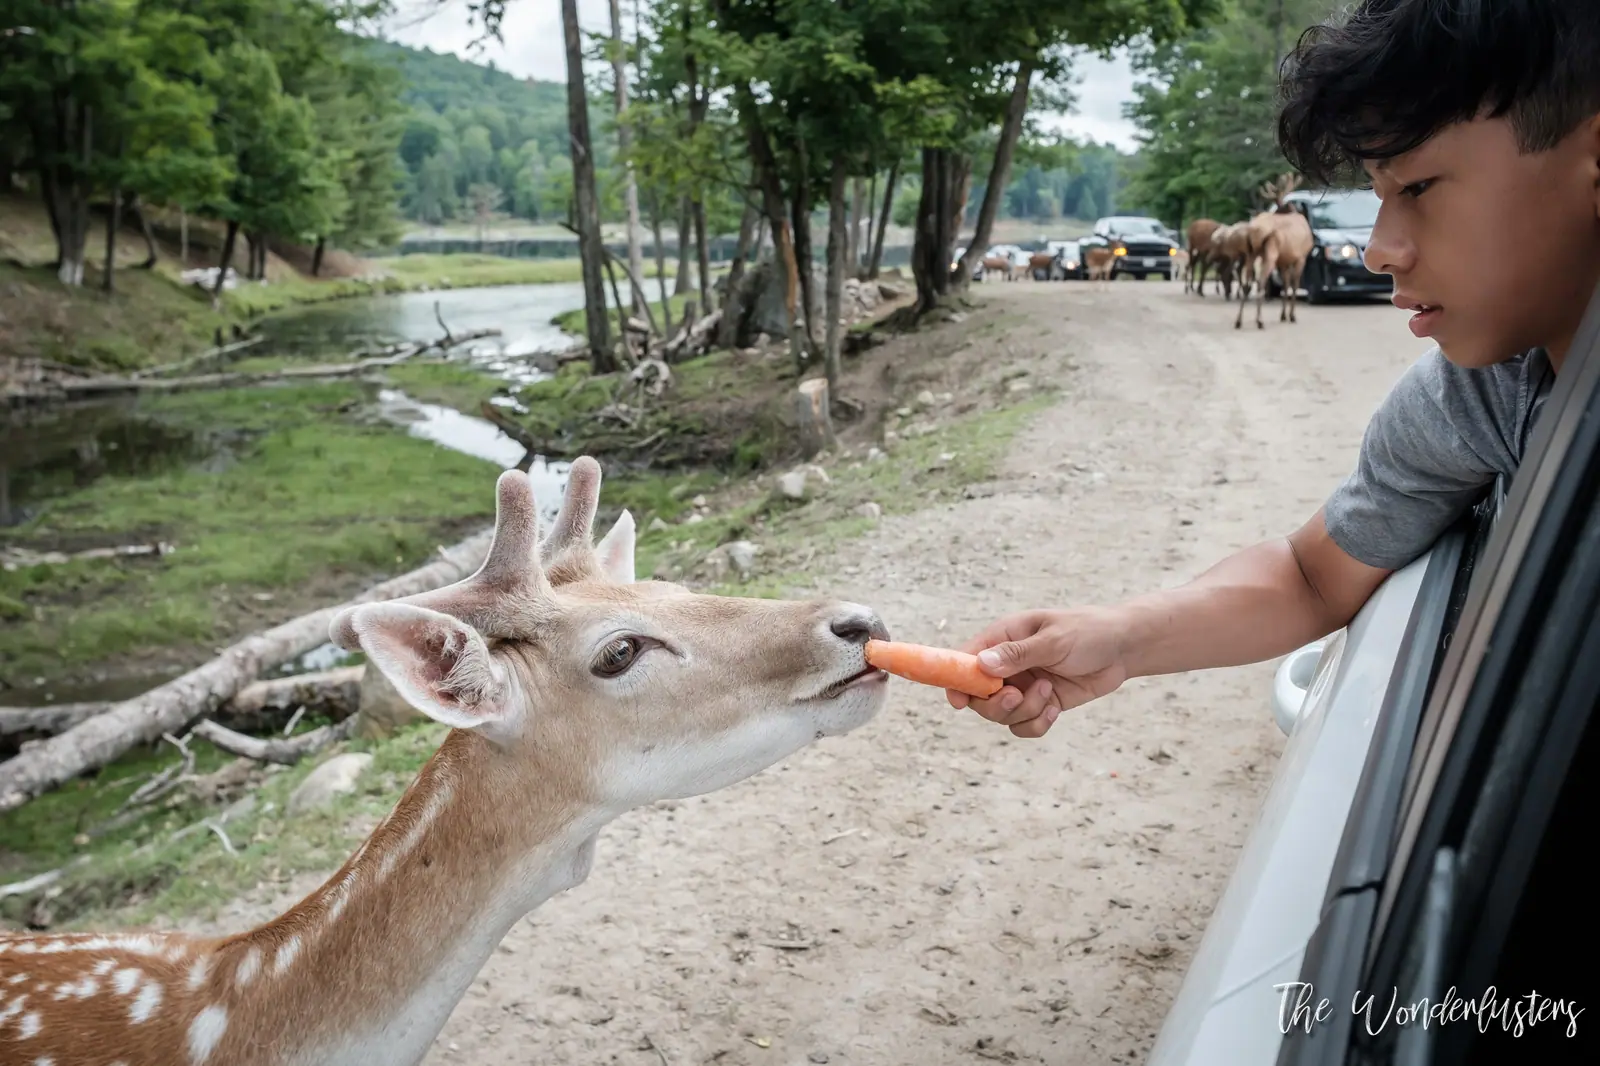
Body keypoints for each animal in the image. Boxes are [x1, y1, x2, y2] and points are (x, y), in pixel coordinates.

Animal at [1235, 172, 1316, 330]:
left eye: (1277, 210)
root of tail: (1254, 230)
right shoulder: (1300, 257)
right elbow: (1294, 284)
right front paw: (1292, 316)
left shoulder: (1283, 261)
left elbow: (1285, 284)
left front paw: (1283, 315)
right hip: (1270, 253)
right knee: (1260, 282)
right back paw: (1259, 321)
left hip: (1251, 254)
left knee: (1247, 284)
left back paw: (1238, 321)